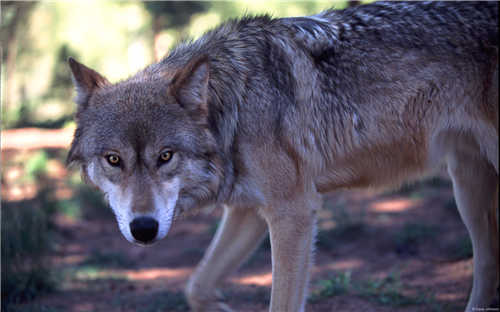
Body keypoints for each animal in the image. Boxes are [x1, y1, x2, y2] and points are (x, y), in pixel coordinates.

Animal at [68, 1, 498, 310]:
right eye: (113, 160)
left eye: (165, 156)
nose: (144, 229)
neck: (236, 106)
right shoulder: (246, 211)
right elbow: (197, 286)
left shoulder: (293, 212)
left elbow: (281, 302)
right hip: (468, 185)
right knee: (487, 265)